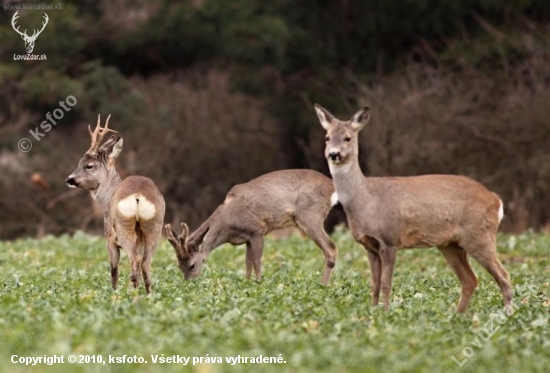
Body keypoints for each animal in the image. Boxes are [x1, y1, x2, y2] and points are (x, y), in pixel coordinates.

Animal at [66, 115, 165, 292]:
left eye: (88, 165)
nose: (69, 179)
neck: (107, 199)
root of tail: (138, 195)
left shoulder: (109, 238)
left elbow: (113, 270)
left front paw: (113, 292)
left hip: (122, 226)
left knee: (134, 259)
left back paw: (131, 292)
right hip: (154, 226)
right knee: (145, 262)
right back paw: (148, 293)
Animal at [166, 170, 340, 284]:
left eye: (192, 265)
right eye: (178, 266)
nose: (190, 284)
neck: (226, 223)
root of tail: (332, 187)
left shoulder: (257, 229)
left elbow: (257, 262)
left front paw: (259, 284)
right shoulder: (247, 238)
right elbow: (247, 264)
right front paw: (248, 284)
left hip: (310, 216)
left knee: (331, 248)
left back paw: (322, 285)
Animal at [316, 104, 516, 310]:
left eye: (348, 137)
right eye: (327, 137)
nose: (333, 154)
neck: (365, 200)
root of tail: (497, 201)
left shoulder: (389, 240)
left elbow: (386, 285)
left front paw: (385, 312)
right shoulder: (369, 245)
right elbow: (374, 284)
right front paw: (374, 311)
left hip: (479, 235)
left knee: (504, 275)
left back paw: (507, 312)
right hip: (450, 244)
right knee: (470, 280)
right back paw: (457, 315)